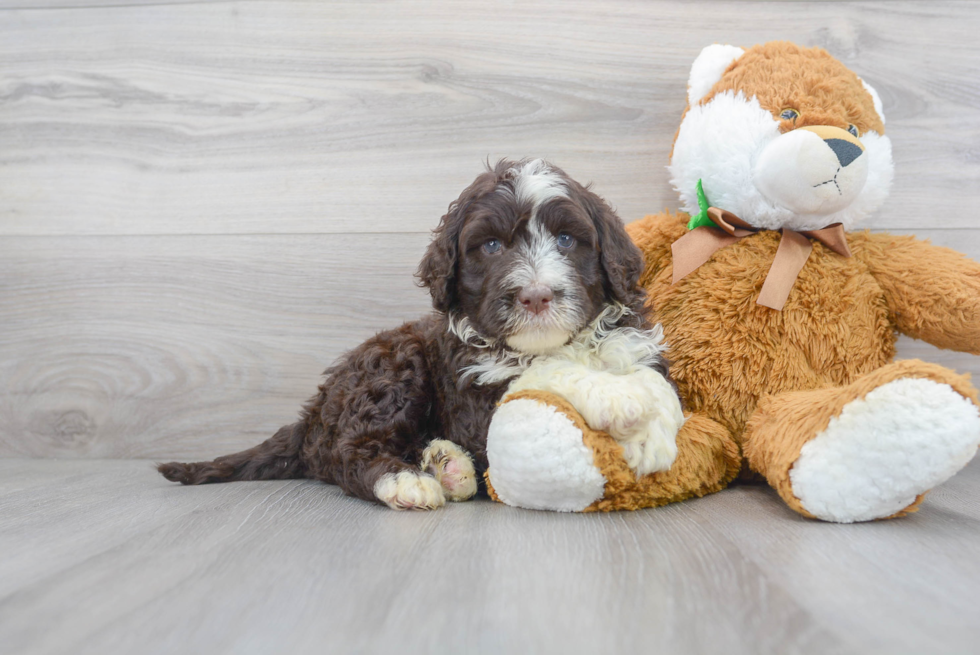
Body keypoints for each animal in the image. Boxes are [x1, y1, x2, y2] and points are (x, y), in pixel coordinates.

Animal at [159, 160, 672, 512]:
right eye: (491, 246)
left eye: (567, 240)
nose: (536, 296)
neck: (550, 343)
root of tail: (314, 410)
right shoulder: (476, 395)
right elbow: (547, 375)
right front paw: (620, 402)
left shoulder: (634, 344)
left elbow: (653, 382)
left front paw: (654, 427)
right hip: (394, 366)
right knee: (345, 452)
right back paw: (408, 481)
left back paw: (448, 465)